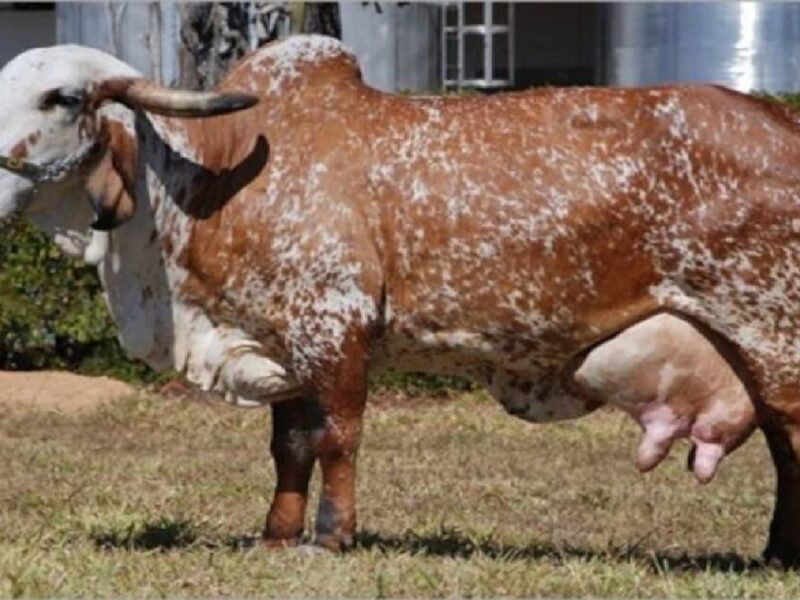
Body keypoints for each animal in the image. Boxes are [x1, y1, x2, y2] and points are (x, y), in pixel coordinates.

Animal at [0, 36, 790, 562]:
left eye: (61, 98)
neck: (210, 180)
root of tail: (781, 124)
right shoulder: (284, 343)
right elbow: (289, 448)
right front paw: (276, 536)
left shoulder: (335, 329)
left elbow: (337, 438)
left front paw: (329, 538)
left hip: (770, 331)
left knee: (790, 437)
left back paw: (780, 553)